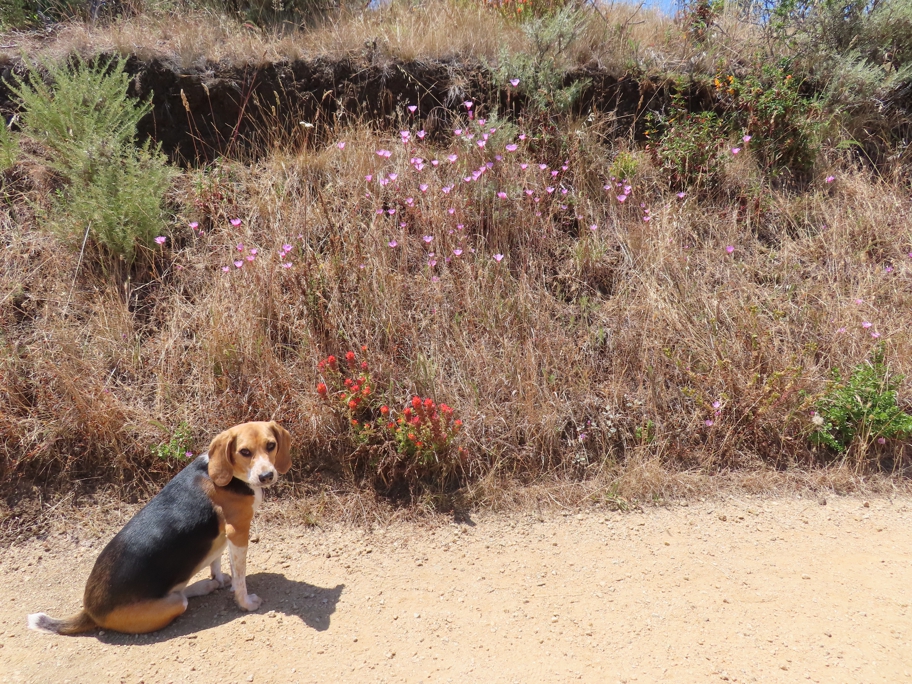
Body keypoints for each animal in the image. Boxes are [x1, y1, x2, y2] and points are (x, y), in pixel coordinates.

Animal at [28, 422, 290, 636]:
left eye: (271, 445)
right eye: (244, 452)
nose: (267, 476)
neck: (228, 475)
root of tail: (90, 612)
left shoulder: (225, 537)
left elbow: (218, 561)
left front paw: (221, 578)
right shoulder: (238, 531)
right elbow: (240, 577)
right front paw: (245, 602)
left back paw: (207, 584)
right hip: (172, 606)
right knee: (180, 598)